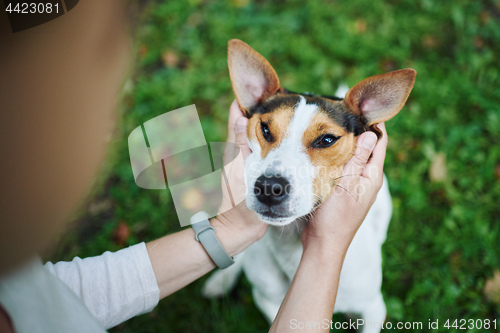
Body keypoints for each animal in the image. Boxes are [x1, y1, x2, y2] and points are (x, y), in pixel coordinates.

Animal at [201, 39, 416, 332]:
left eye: (327, 140)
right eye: (265, 128)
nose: (269, 187)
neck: (292, 247)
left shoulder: (373, 308)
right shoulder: (269, 302)